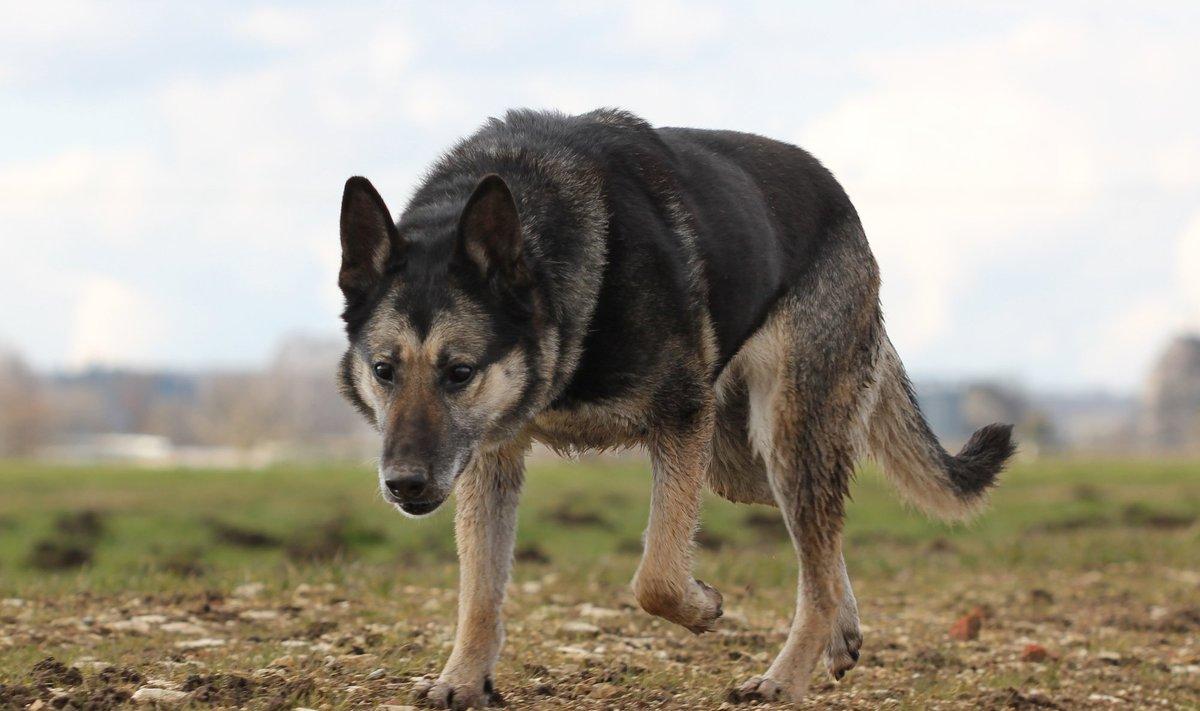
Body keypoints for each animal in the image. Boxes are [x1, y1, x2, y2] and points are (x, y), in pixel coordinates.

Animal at [336, 106, 1012, 706]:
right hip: (738, 463)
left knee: (816, 559)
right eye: (384, 371)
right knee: (821, 538)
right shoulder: (490, 457)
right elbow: (479, 589)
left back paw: (784, 680)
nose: (403, 485)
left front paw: (701, 607)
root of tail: (839, 195)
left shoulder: (680, 418)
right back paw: (839, 633)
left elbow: (656, 576)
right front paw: (462, 679)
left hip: (783, 434)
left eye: (459, 372)